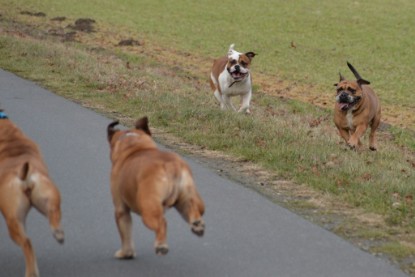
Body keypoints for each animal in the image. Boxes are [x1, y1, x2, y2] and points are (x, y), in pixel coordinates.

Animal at [0, 110, 64, 276]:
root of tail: (25, 178)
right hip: (46, 196)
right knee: (53, 213)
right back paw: (58, 233)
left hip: (13, 220)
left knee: (26, 243)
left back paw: (31, 272)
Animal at [106, 116, 206, 256]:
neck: (134, 147)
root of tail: (171, 165)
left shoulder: (121, 209)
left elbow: (126, 234)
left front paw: (125, 253)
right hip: (188, 197)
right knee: (194, 209)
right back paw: (197, 225)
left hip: (148, 210)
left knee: (161, 223)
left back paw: (161, 246)